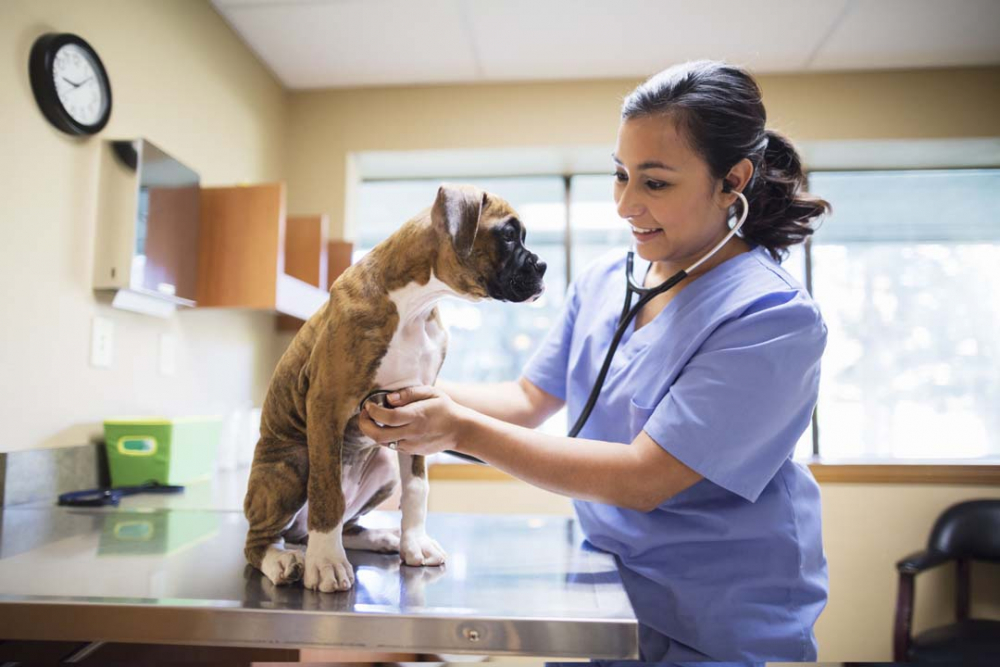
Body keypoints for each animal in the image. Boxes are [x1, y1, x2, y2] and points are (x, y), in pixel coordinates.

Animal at [247, 184, 552, 596]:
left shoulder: (416, 407)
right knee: (264, 539)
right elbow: (328, 494)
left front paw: (414, 543)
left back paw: (380, 537)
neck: (415, 306)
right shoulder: (326, 402)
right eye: (507, 234)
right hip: (293, 464)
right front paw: (326, 564)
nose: (543, 266)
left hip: (383, 467)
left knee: (342, 524)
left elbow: (417, 488)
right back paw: (286, 559)